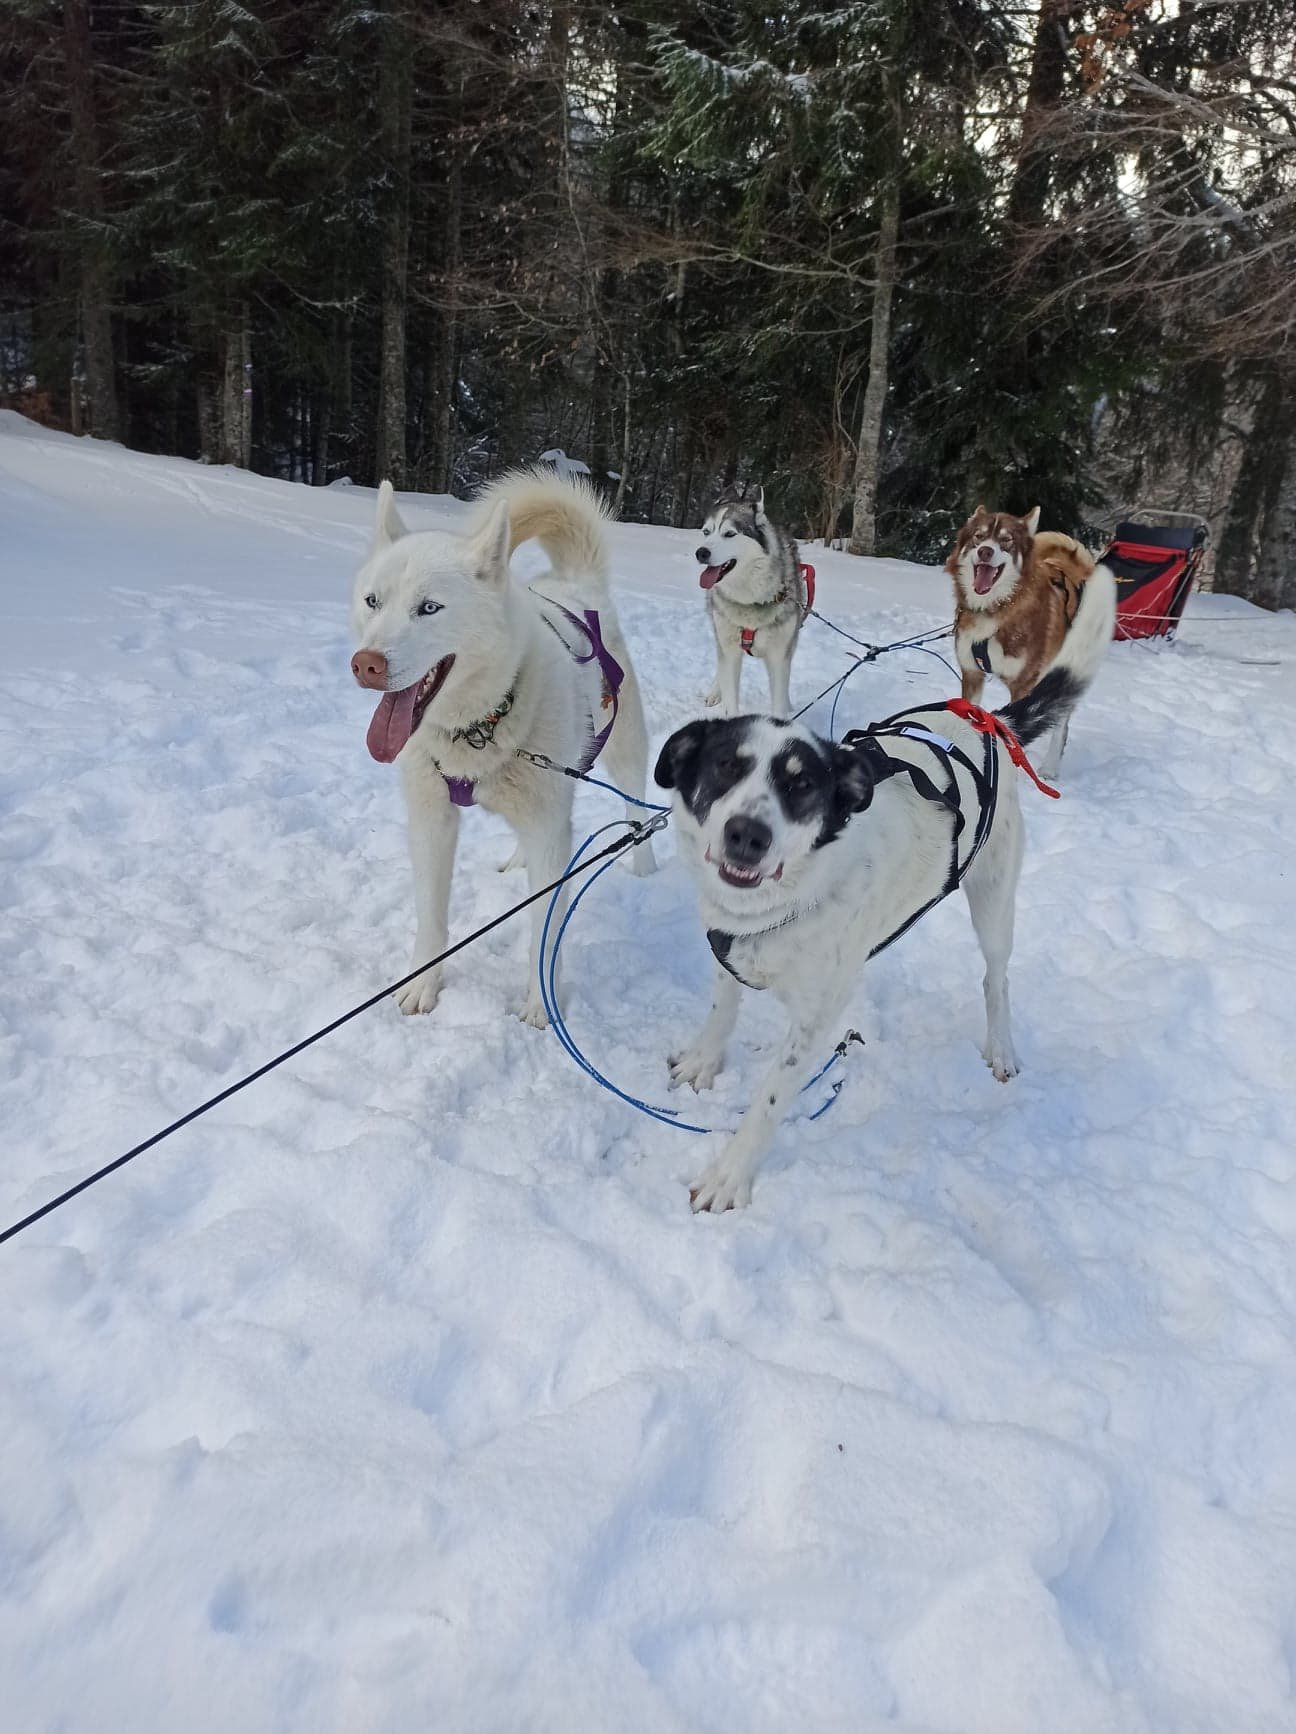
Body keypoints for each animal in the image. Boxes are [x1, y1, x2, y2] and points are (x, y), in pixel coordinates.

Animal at [350, 468, 659, 1019]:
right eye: (372, 601)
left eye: (429, 608)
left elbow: (544, 928)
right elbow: (431, 918)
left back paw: (641, 863)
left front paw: (541, 1004)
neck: (479, 728)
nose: (366, 664)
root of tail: (575, 582)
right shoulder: (431, 822)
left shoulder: (550, 832)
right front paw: (422, 985)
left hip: (623, 749)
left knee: (636, 807)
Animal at [652, 655, 1089, 1213]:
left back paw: (1002, 1049)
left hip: (994, 901)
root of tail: (989, 722)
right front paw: (704, 1063)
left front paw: (728, 1177)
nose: (748, 835)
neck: (787, 901)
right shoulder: (728, 950)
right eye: (725, 766)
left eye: (802, 786)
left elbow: (768, 1101)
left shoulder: (812, 1022)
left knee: (997, 979)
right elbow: (720, 1013)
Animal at [693, 485, 805, 714]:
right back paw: (714, 692)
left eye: (729, 534)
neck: (749, 599)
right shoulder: (729, 650)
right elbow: (730, 696)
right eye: (706, 532)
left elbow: (779, 699)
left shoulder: (779, 656)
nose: (701, 552)